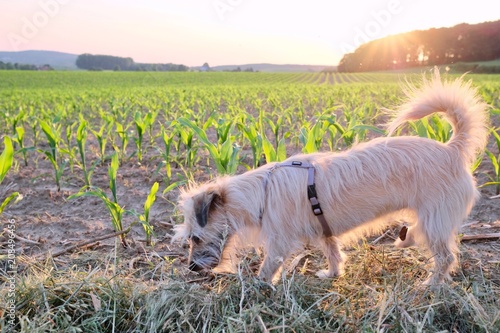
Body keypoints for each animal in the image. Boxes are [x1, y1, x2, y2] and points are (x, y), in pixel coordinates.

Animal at [173, 70, 488, 282]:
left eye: (194, 238)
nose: (190, 268)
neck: (262, 192)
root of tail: (451, 149)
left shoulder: (279, 241)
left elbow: (269, 265)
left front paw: (257, 286)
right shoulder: (323, 230)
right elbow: (333, 251)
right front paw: (333, 273)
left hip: (436, 219)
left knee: (445, 256)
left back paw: (431, 284)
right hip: (432, 218)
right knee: (426, 238)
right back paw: (405, 239)